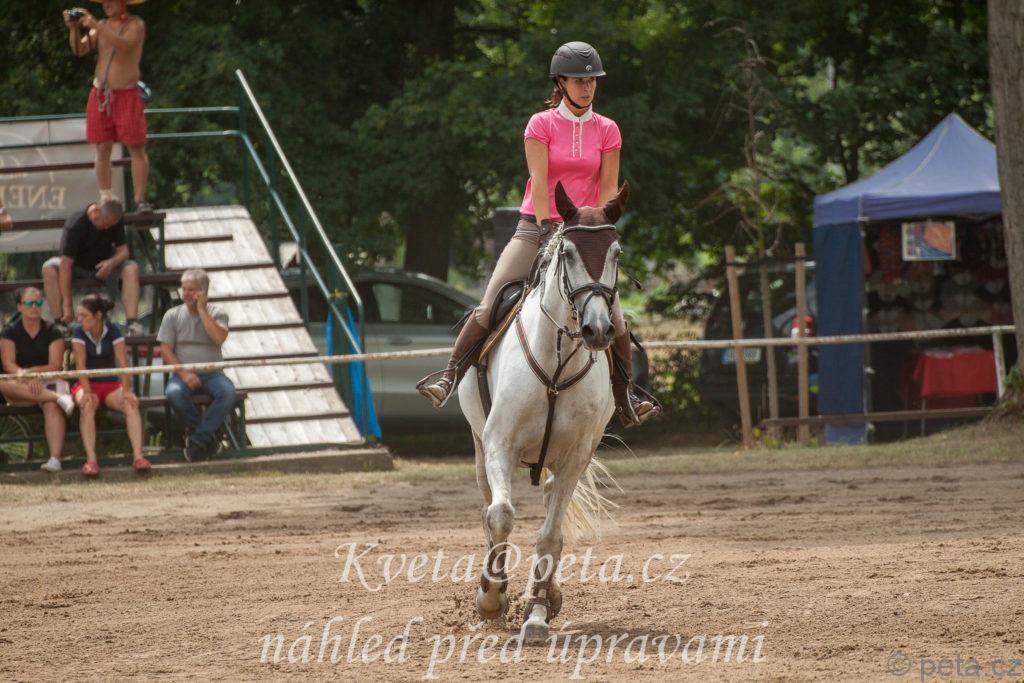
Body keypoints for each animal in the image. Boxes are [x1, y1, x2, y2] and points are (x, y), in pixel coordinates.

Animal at [457, 181, 630, 643]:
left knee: (553, 504)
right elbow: (500, 516)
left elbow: (551, 535)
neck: (556, 365)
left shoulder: (574, 458)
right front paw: (491, 598)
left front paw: (535, 614)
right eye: (567, 251)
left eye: (616, 252)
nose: (598, 329)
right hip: (479, 448)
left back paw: (548, 595)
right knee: (488, 507)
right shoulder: (499, 444)